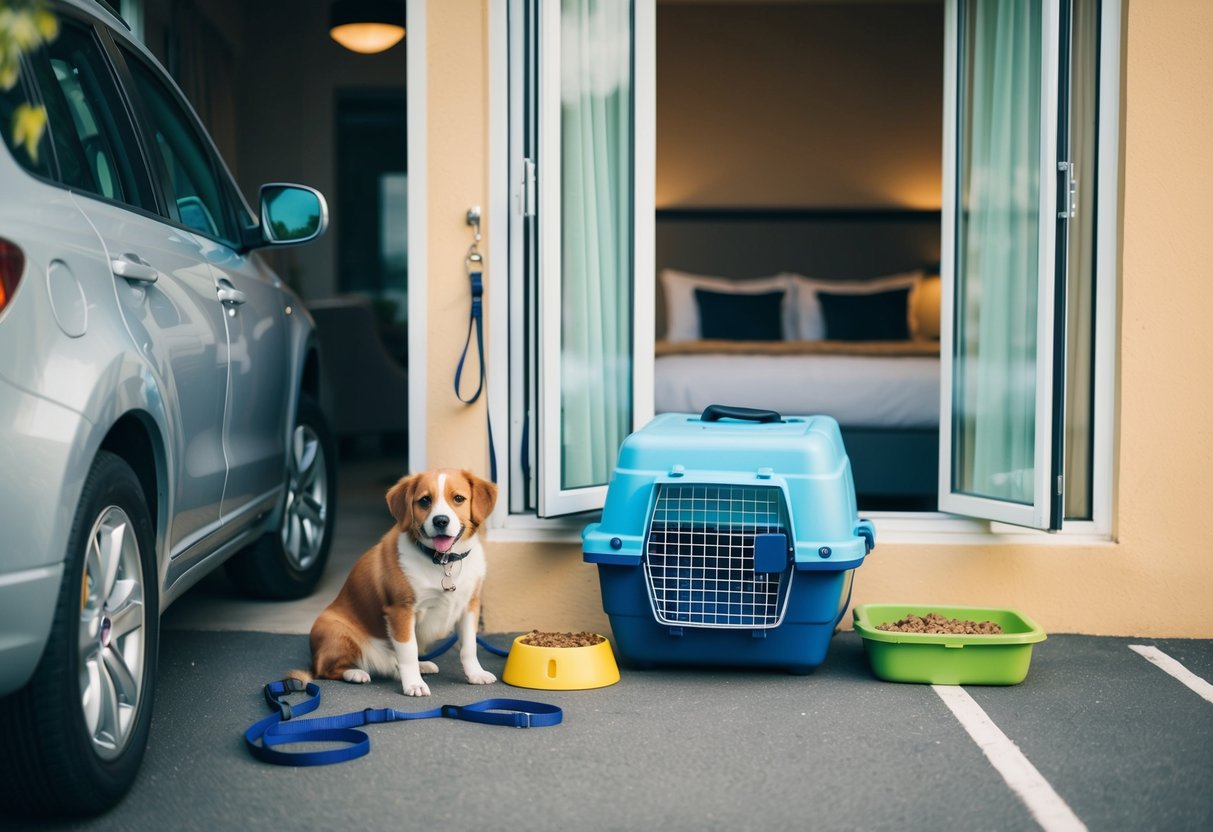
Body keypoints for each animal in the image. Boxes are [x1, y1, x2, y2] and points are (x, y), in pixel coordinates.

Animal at [302, 470, 497, 698]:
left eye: (458, 498)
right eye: (424, 500)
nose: (440, 521)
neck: (444, 562)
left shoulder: (469, 606)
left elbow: (469, 647)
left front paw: (475, 673)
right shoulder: (401, 611)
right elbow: (408, 651)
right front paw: (413, 684)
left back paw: (420, 666)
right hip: (336, 631)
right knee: (324, 669)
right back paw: (356, 673)